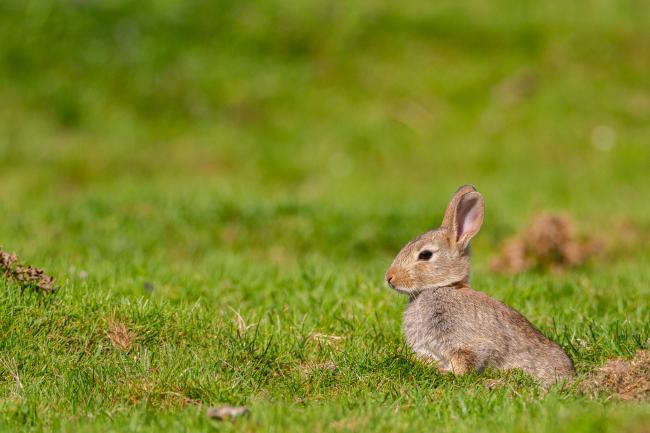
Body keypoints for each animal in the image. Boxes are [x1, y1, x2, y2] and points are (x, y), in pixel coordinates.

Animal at [385, 185, 575, 387]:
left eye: (425, 255)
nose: (389, 277)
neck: (444, 287)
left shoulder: (467, 343)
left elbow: (466, 362)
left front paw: (443, 372)